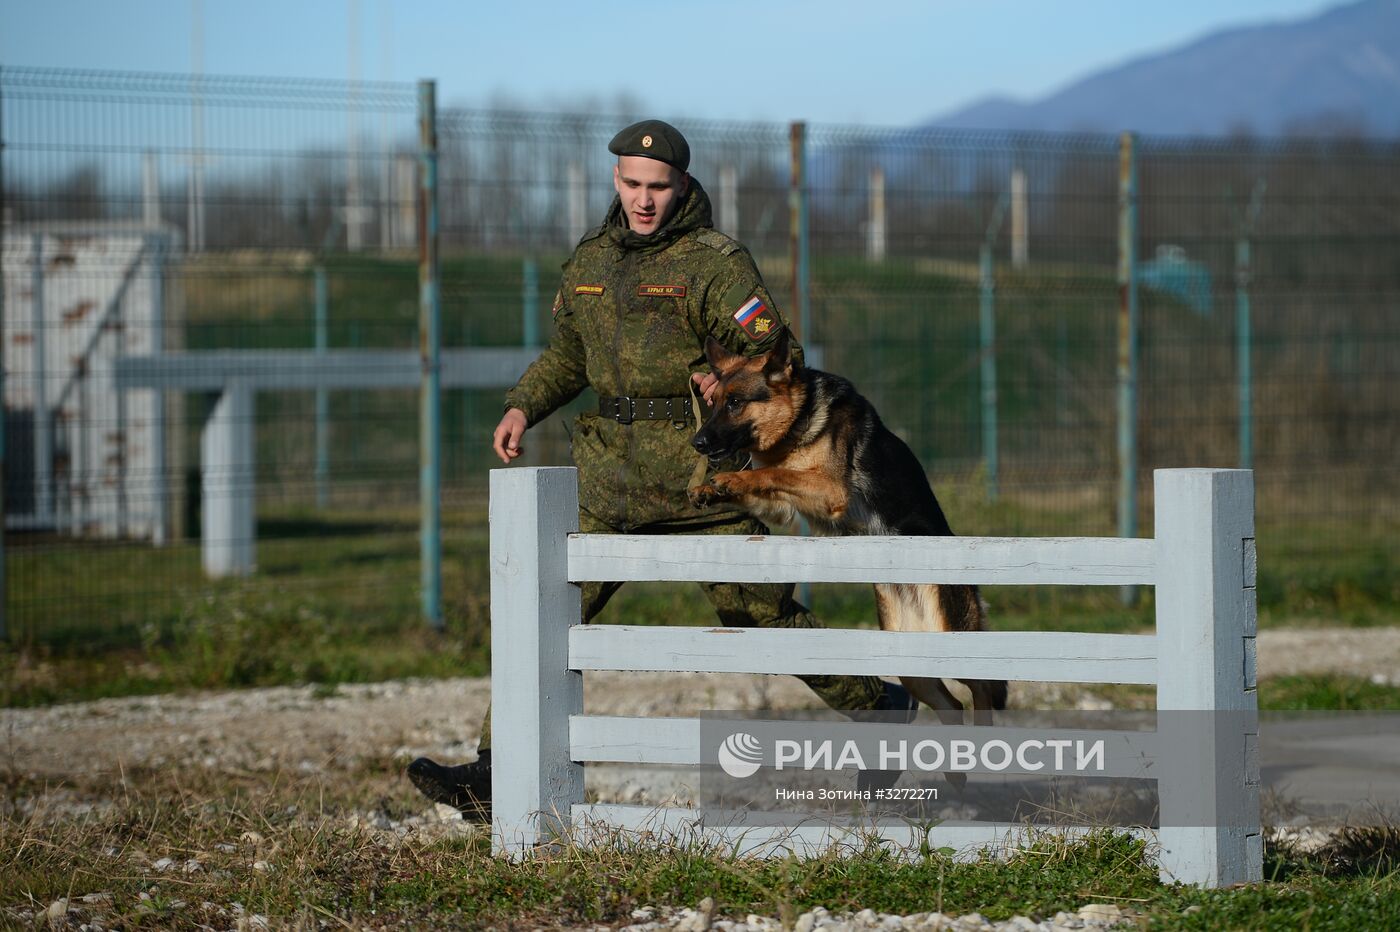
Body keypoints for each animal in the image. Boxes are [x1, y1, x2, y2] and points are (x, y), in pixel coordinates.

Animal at [686, 330, 1008, 722]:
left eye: (734, 403)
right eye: (714, 401)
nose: (697, 442)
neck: (798, 421)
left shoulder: (829, 489)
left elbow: (772, 472)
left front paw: (729, 478)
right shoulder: (781, 507)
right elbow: (766, 478)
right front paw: (709, 489)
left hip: (954, 638)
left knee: (982, 689)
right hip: (915, 665)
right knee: (953, 705)